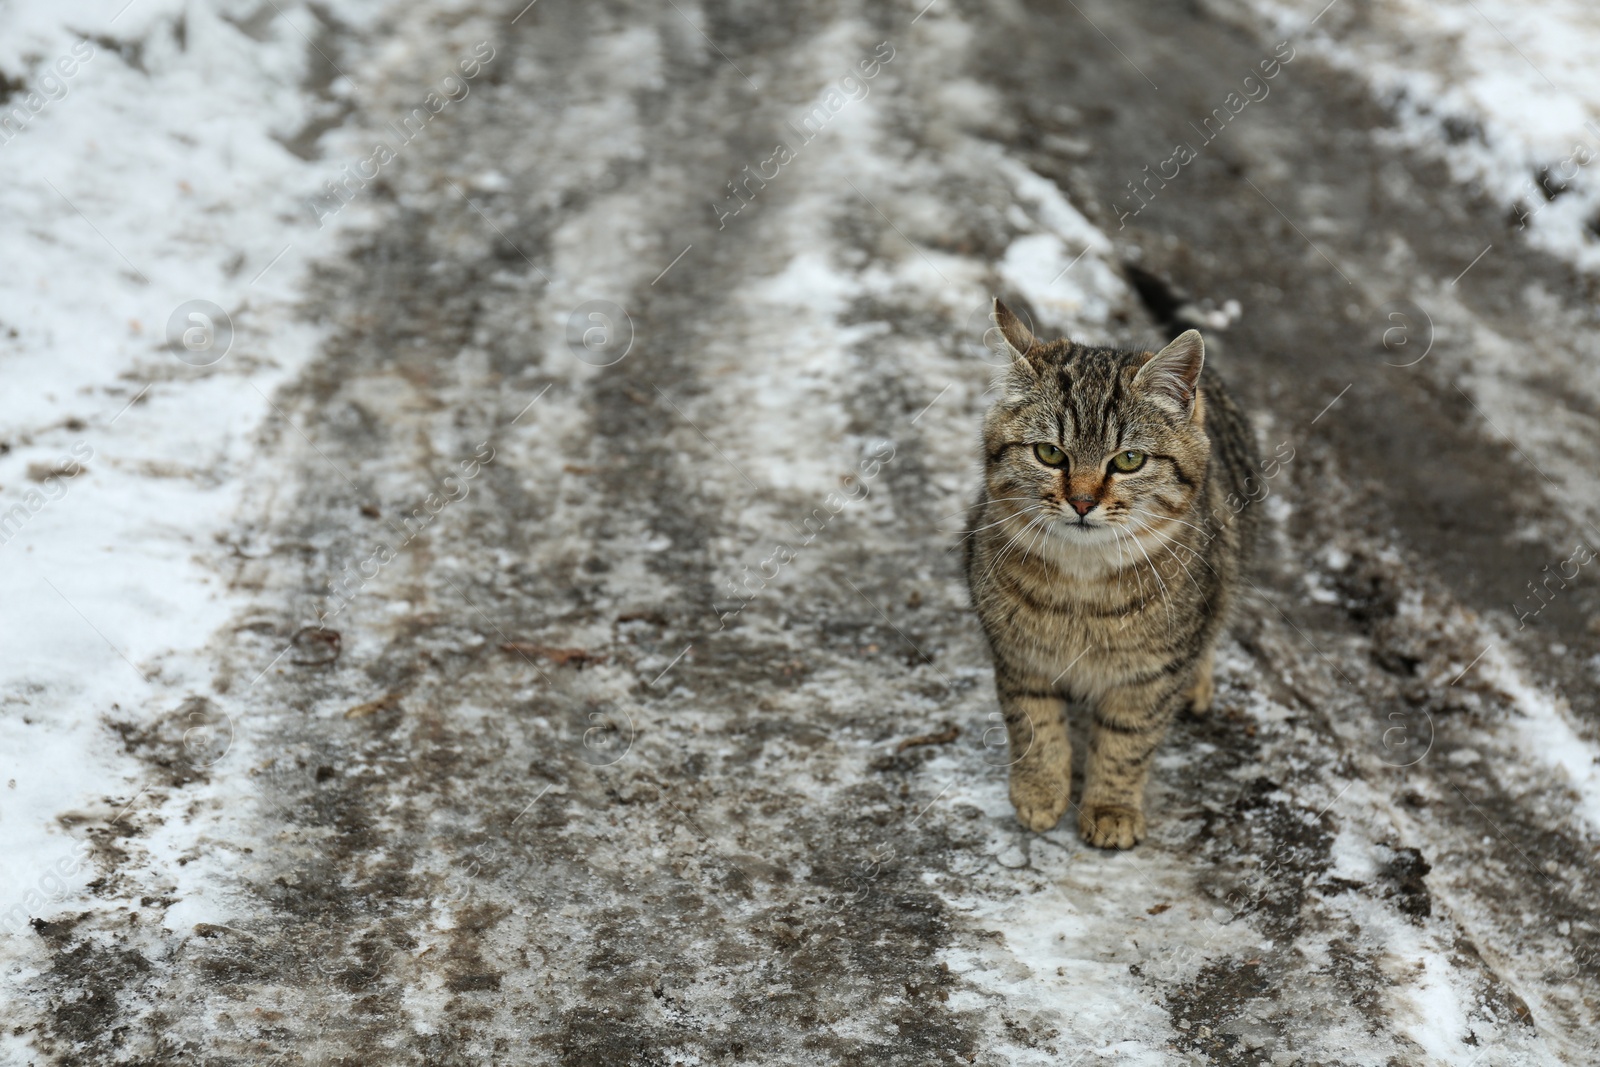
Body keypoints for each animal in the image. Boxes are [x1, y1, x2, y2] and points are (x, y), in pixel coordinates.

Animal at [960, 302, 1260, 851]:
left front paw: (1111, 807)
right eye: (1050, 454)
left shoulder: (1150, 676)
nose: (1081, 502)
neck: (1083, 586)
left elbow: (1126, 743)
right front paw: (1039, 790)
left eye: (1129, 460)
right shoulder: (1018, 656)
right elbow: (1034, 724)